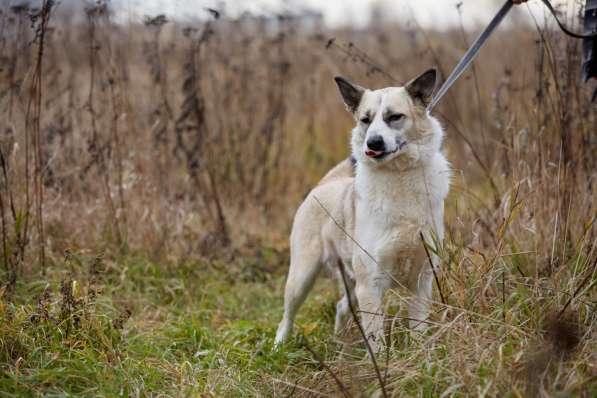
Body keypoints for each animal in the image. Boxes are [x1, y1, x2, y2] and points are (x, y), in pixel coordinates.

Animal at [274, 69, 452, 352]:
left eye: (394, 117)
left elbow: (418, 330)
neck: (398, 176)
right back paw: (278, 348)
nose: (373, 142)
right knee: (286, 318)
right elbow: (376, 339)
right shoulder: (371, 284)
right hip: (302, 277)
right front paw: (382, 363)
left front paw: (420, 357)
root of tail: (326, 184)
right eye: (365, 120)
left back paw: (340, 340)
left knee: (340, 306)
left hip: (354, 285)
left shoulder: (421, 281)